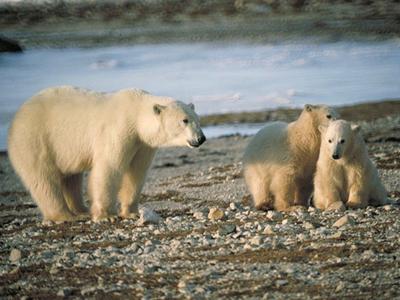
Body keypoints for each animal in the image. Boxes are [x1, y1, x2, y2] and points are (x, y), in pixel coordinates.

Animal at [8, 85, 206, 221]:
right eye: (184, 120)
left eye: (197, 119)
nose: (201, 138)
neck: (135, 113)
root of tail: (16, 118)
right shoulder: (118, 130)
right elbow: (109, 168)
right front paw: (106, 216)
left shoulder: (142, 144)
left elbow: (136, 173)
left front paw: (131, 212)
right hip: (35, 140)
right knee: (43, 179)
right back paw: (64, 216)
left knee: (71, 177)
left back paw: (81, 210)